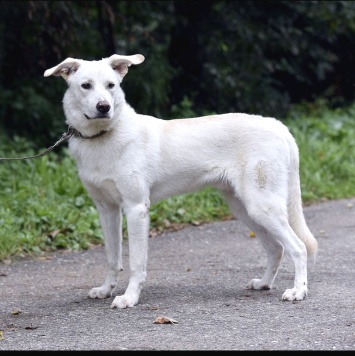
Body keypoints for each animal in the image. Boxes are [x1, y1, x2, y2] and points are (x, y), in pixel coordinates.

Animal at [43, 52, 318, 308]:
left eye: (111, 85)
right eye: (86, 85)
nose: (103, 107)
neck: (103, 136)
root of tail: (279, 126)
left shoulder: (136, 208)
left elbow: (136, 263)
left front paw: (130, 298)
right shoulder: (107, 209)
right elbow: (113, 258)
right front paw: (105, 290)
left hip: (262, 206)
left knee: (298, 247)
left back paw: (298, 291)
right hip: (245, 209)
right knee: (276, 248)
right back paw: (264, 283)